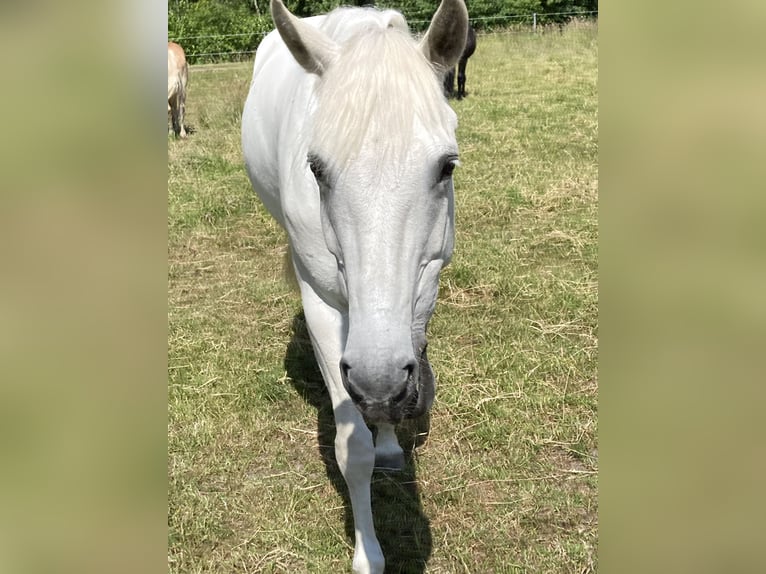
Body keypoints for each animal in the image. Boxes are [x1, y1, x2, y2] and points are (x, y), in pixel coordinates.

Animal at [243, 2, 472, 572]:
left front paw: (390, 439)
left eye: (447, 166)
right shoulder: (324, 305)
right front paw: (368, 554)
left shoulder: (422, 287)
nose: (376, 377)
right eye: (316, 168)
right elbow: (354, 449)